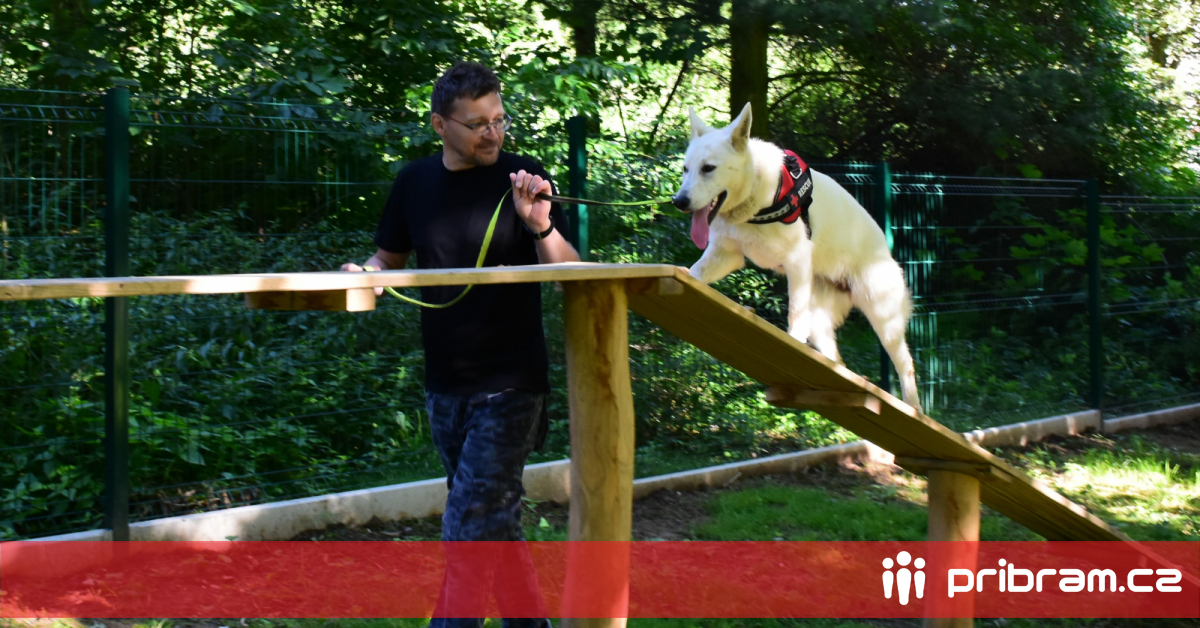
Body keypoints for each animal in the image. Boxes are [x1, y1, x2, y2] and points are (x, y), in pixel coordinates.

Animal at [672, 103, 921, 413]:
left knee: (906, 364)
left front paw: (790, 339)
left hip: (883, 320)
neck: (758, 198)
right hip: (823, 325)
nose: (678, 201)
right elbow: (695, 272)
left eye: (708, 168)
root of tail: (887, 251)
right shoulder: (726, 255)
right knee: (836, 361)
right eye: (685, 170)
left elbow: (794, 314)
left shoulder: (797, 262)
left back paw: (916, 411)